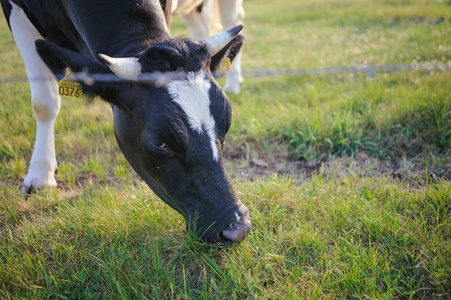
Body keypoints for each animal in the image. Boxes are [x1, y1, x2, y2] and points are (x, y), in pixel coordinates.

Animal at [0, 0, 251, 244]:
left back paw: (234, 81)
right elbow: (44, 103)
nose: (236, 229)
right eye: (159, 143)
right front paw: (40, 177)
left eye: (227, 123)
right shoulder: (15, 10)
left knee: (231, 17)